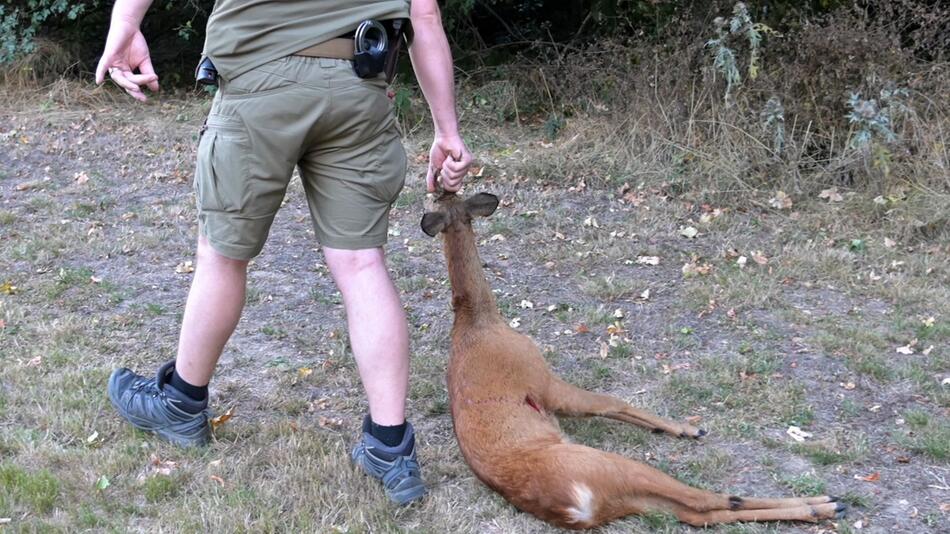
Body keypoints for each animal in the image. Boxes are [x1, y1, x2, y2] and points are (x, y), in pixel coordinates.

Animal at [420, 193, 844, 532]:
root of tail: (574, 509)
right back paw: (823, 504)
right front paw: (684, 429)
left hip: (625, 495)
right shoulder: (541, 379)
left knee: (694, 513)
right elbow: (610, 402)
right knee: (704, 500)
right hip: (609, 467)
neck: (477, 319)